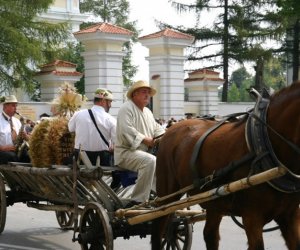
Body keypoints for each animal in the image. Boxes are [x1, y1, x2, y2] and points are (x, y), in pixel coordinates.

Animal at [152, 81, 300, 249]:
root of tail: (166, 133)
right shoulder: (252, 217)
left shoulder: (290, 216)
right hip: (167, 193)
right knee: (159, 227)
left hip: (214, 201)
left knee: (210, 235)